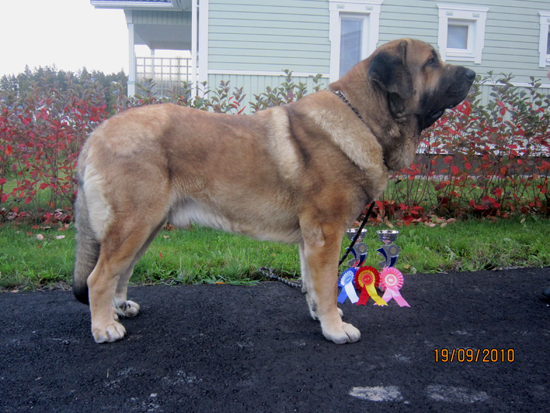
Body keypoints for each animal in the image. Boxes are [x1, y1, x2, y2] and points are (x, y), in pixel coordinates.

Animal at [73, 38, 476, 342]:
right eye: (432, 61)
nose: (472, 73)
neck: (363, 117)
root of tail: (97, 132)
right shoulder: (326, 233)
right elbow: (327, 282)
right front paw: (335, 328)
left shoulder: (312, 238)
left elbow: (314, 282)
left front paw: (321, 315)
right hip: (134, 224)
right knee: (99, 277)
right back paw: (104, 327)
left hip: (145, 227)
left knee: (119, 273)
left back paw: (119, 310)